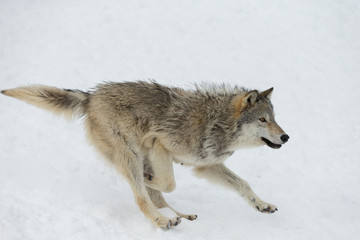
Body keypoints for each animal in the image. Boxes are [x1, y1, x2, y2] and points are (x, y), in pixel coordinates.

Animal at [1, 82, 290, 229]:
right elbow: (167, 183)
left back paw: (180, 216)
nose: (286, 137)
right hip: (130, 154)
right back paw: (162, 219)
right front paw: (149, 179)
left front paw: (262, 205)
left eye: (275, 118)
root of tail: (90, 97)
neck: (218, 123)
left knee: (156, 199)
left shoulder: (206, 166)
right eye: (263, 120)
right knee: (143, 197)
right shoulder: (159, 144)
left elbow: (244, 184)